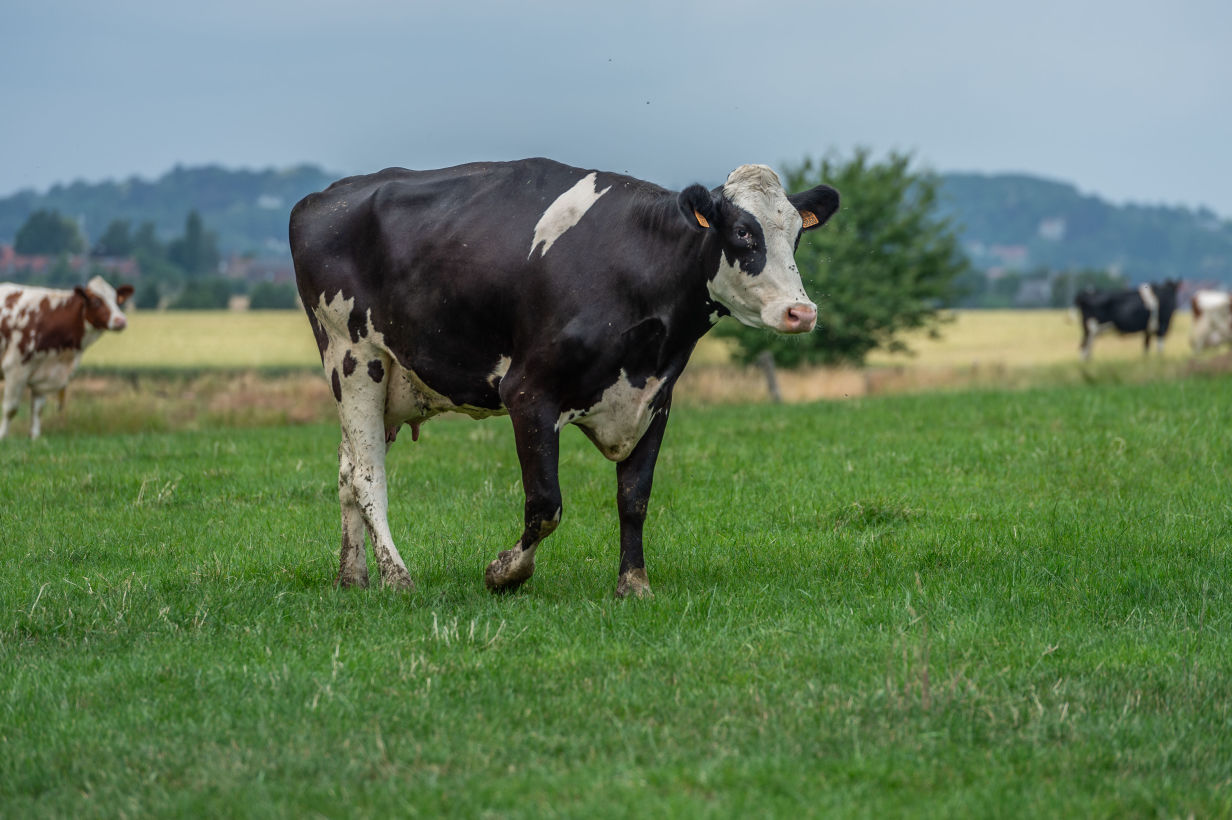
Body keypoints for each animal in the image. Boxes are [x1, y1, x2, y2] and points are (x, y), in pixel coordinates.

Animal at [0, 274, 133, 438]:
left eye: (117, 301)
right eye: (96, 301)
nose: (120, 321)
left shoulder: (44, 372)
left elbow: (38, 409)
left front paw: (35, 438)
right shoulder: (15, 368)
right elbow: (10, 409)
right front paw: (3, 436)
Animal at [288, 157, 837, 593]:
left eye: (797, 234)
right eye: (743, 232)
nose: (802, 311)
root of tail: (324, 198)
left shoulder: (654, 401)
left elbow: (634, 498)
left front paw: (633, 584)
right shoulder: (528, 394)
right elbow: (545, 504)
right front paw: (504, 572)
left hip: (389, 384)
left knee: (346, 471)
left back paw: (352, 577)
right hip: (354, 358)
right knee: (366, 476)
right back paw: (396, 576)